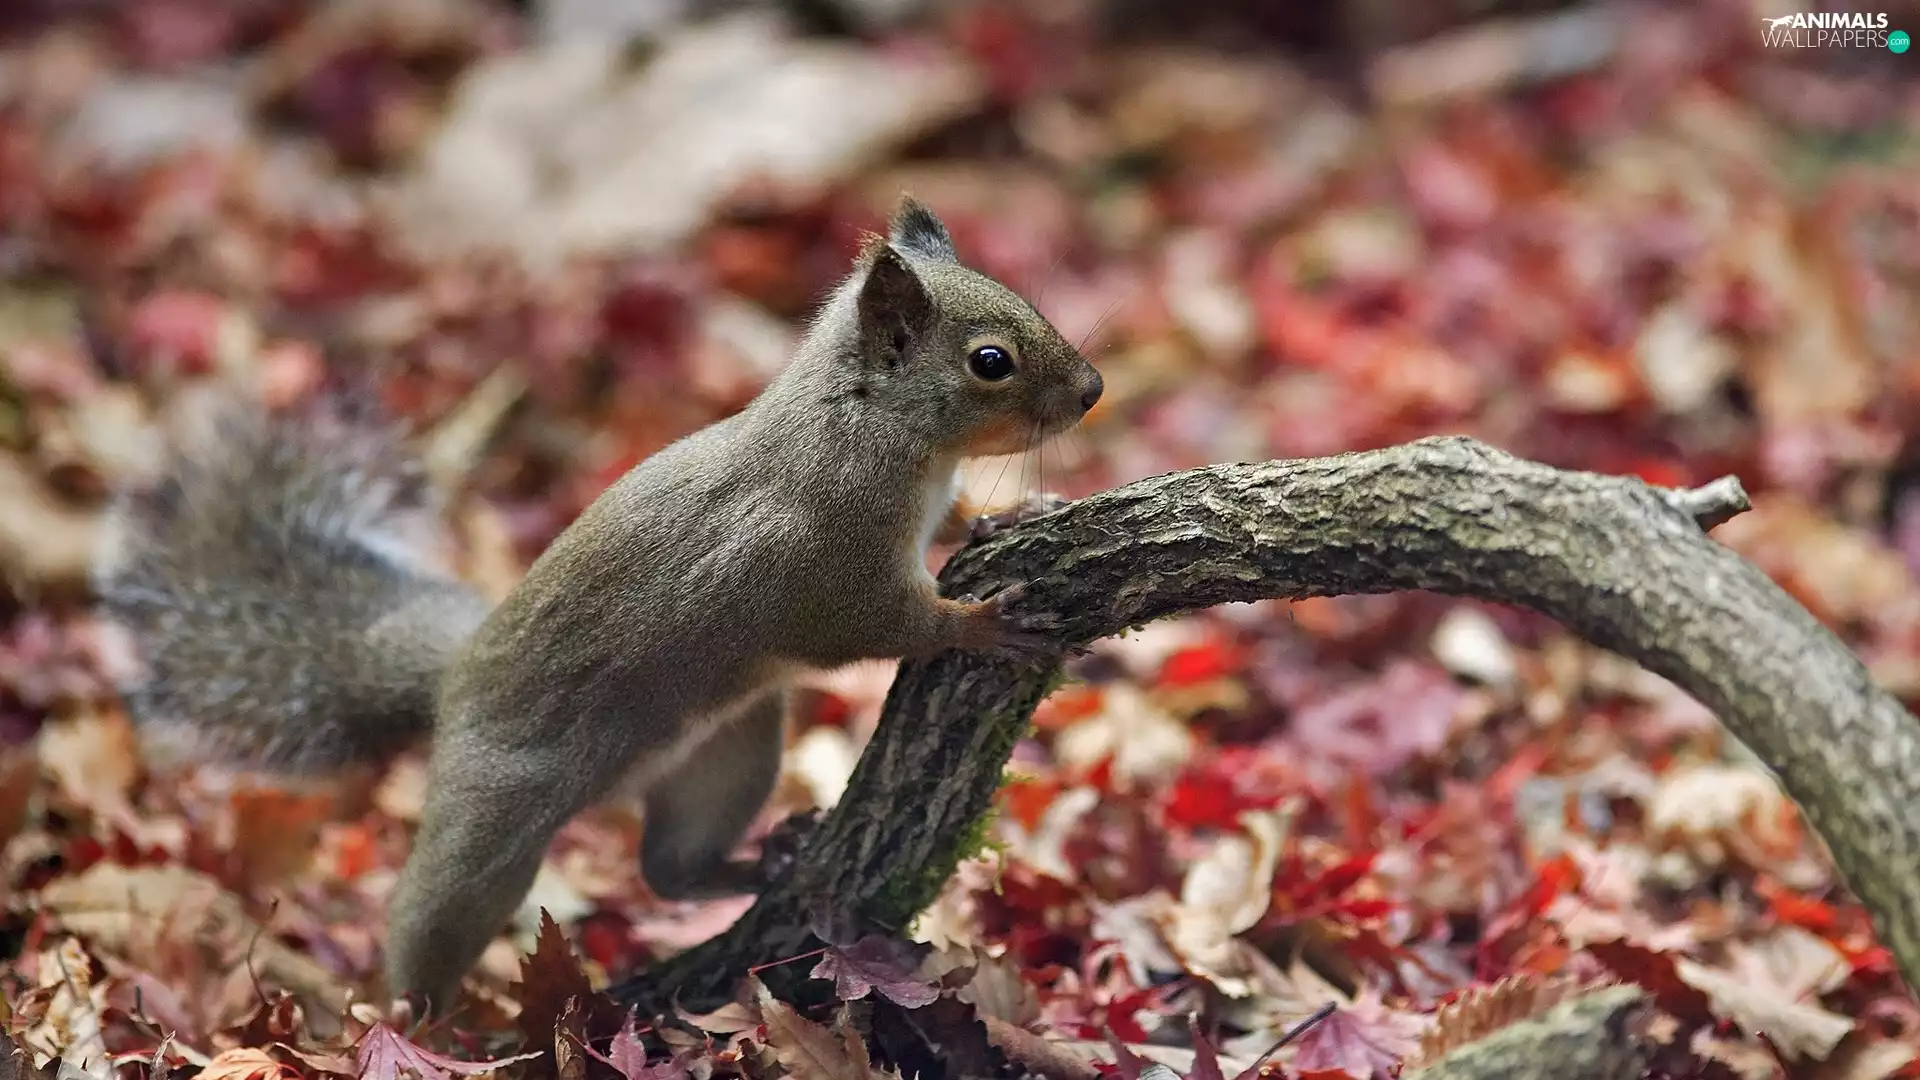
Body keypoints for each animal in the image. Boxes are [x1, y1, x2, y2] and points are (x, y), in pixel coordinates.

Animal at [93, 197, 1104, 1014]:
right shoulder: (823, 566)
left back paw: (761, 859)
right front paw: (981, 624)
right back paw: (419, 1024)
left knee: (671, 869)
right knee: (433, 911)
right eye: (990, 361)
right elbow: (877, 626)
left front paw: (1017, 511)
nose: (1094, 391)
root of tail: (452, 681)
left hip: (727, 754)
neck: (868, 427)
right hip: (493, 818)